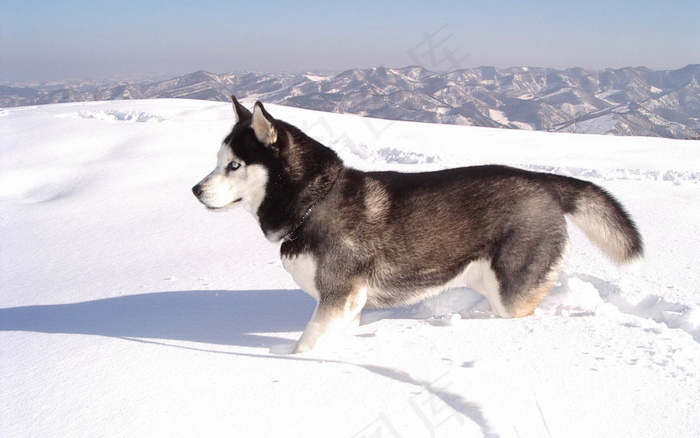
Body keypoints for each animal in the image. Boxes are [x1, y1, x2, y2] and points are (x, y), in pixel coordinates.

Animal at [194, 96, 644, 352]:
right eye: (218, 161)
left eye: (234, 165)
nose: (195, 190)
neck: (313, 203)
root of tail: (542, 181)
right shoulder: (349, 306)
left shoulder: (339, 297)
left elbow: (306, 346)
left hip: (511, 290)